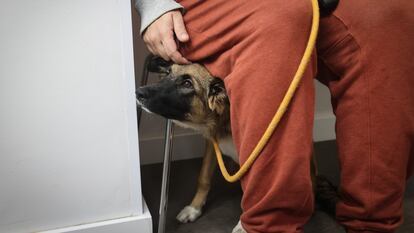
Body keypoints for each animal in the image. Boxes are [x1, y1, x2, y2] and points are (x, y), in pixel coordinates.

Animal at [137, 56, 338, 228]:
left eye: (187, 84)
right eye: (168, 73)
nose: (138, 92)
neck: (225, 120)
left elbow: (252, 193)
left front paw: (244, 225)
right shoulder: (212, 143)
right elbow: (203, 178)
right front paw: (194, 208)